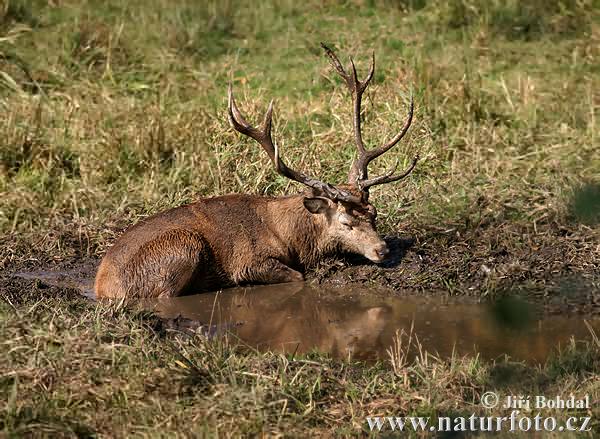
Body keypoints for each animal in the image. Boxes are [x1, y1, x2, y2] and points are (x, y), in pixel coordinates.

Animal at [96, 44, 420, 300]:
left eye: (374, 213)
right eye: (346, 223)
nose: (382, 250)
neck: (290, 237)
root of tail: (102, 287)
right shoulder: (248, 262)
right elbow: (298, 276)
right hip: (182, 245)